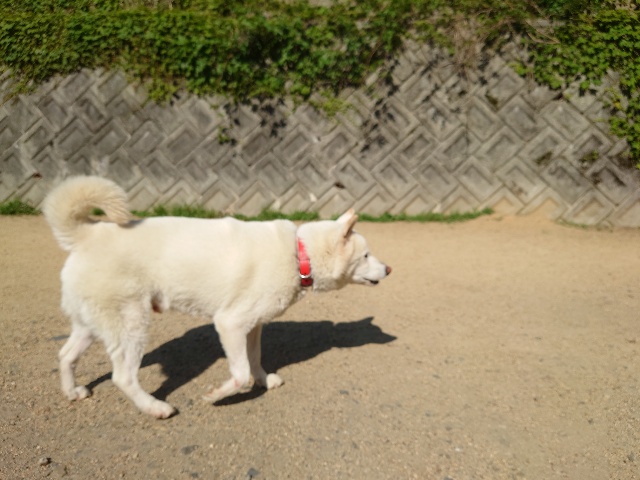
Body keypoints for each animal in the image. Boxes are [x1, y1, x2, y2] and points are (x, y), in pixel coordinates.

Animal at [43, 176, 391, 418]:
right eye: (366, 255)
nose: (389, 268)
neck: (298, 254)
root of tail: (88, 234)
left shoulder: (253, 326)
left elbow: (254, 360)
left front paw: (263, 380)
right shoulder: (229, 323)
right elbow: (239, 373)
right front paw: (216, 395)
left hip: (92, 324)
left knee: (65, 355)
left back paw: (72, 391)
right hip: (131, 323)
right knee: (122, 377)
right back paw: (155, 408)